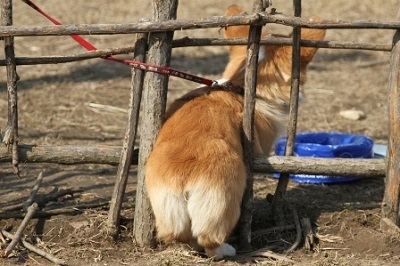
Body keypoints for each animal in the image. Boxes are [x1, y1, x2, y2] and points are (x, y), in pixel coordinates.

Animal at [144, 4, 324, 260]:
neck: (241, 86)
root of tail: (182, 176)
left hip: (168, 210)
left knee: (180, 237)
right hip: (224, 199)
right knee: (210, 238)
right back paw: (228, 249)